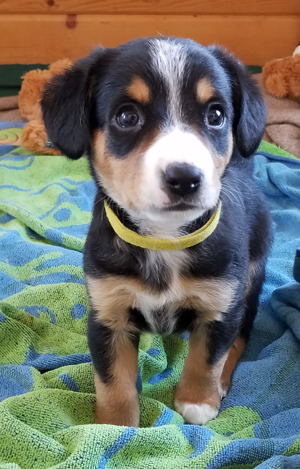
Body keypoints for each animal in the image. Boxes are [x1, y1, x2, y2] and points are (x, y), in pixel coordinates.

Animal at [42, 35, 272, 424]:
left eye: (215, 115)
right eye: (126, 116)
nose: (185, 178)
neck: (164, 240)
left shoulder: (221, 304)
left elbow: (207, 358)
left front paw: (197, 402)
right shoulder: (108, 314)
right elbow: (113, 381)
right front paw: (114, 426)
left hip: (251, 280)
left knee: (241, 337)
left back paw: (222, 385)